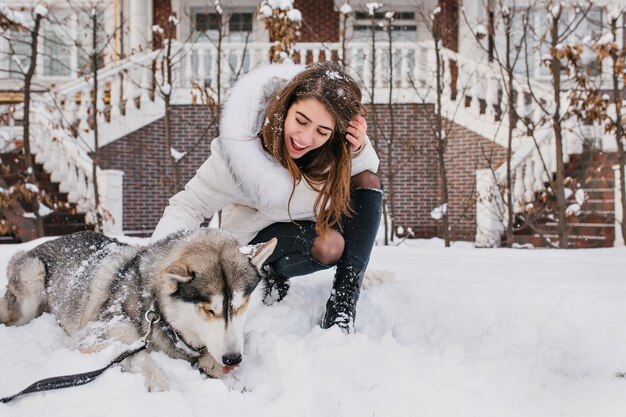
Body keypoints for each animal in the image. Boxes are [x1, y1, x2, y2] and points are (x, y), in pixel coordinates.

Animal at [0, 228, 276, 390]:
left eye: (240, 306)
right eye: (209, 310)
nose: (234, 358)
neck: (158, 313)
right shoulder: (93, 336)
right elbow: (136, 355)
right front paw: (162, 387)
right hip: (31, 283)